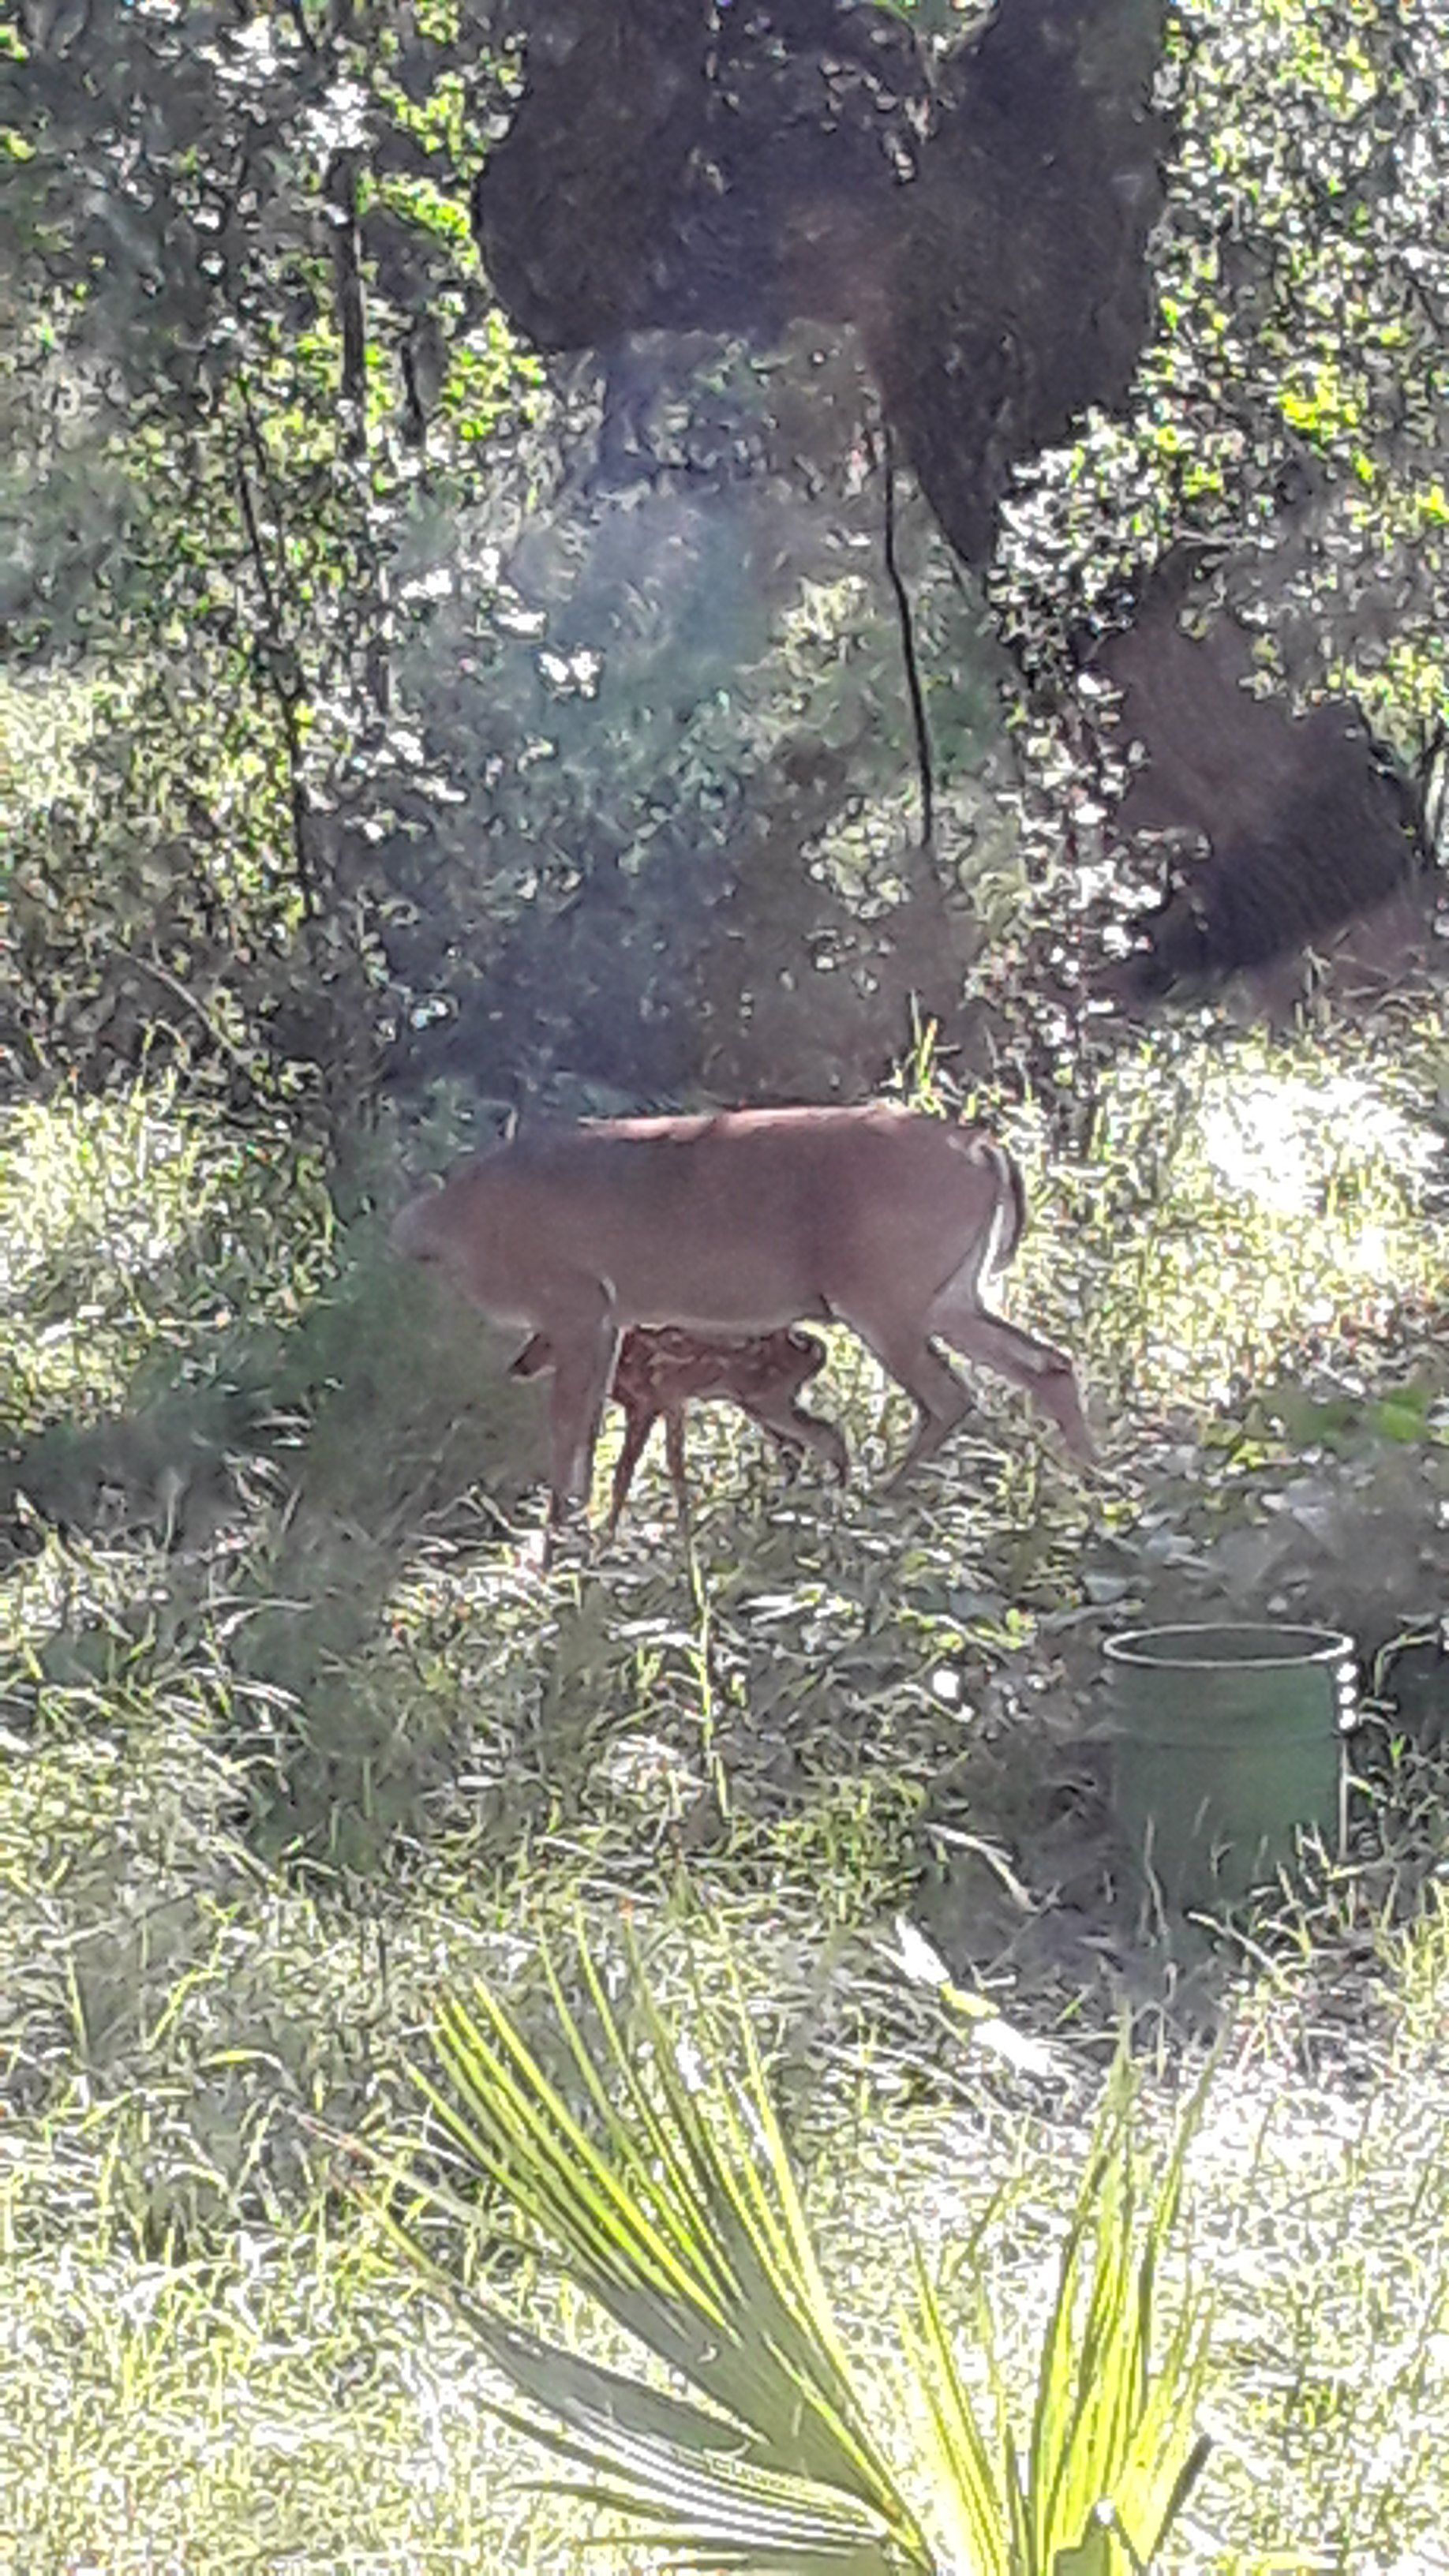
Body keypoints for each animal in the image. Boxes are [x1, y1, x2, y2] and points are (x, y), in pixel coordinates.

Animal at [509, 1324, 849, 1536]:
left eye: (547, 1339)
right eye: (532, 1334)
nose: (518, 1367)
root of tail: (817, 1353)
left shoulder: (648, 1402)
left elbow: (625, 1473)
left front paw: (604, 1541)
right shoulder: (672, 1402)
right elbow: (676, 1466)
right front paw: (685, 1531)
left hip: (769, 1400)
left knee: (826, 1435)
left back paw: (837, 1504)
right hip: (758, 1403)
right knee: (802, 1445)